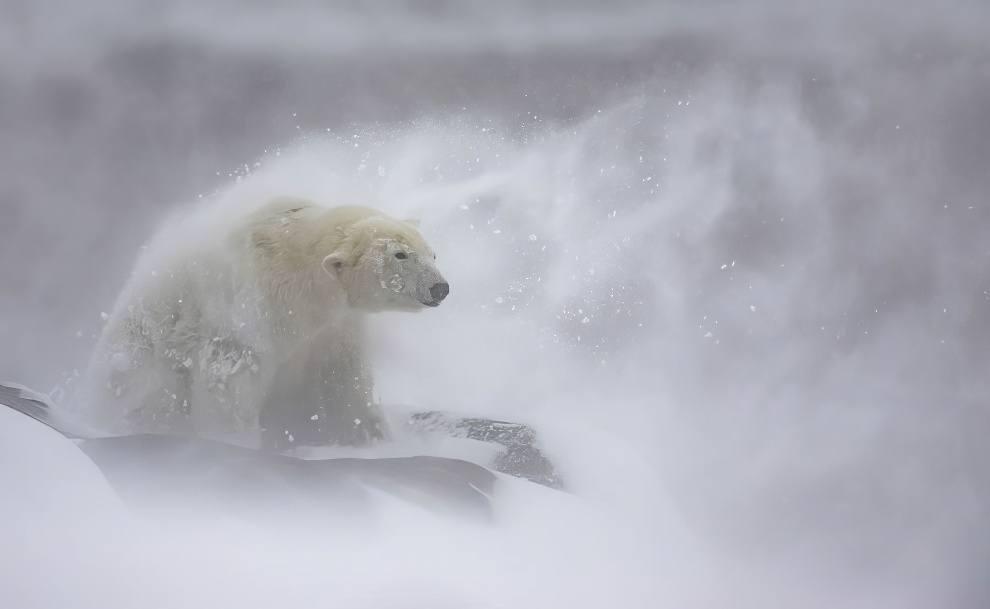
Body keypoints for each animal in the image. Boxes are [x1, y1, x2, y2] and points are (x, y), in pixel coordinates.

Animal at [83, 197, 452, 448]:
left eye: (432, 253)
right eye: (400, 254)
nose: (440, 287)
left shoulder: (336, 326)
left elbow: (344, 378)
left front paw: (372, 437)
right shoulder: (250, 309)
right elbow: (229, 378)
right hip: (140, 353)